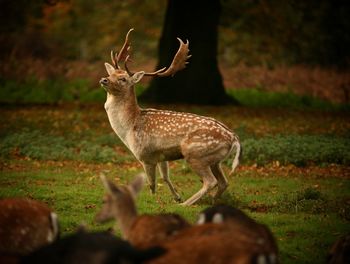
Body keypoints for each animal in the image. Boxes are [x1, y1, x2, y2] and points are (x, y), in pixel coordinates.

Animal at [98, 29, 241, 206]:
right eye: (111, 73)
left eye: (123, 78)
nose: (104, 79)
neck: (129, 126)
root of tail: (233, 138)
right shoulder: (161, 155)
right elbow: (165, 177)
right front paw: (176, 196)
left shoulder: (145, 155)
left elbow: (151, 183)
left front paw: (153, 201)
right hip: (215, 160)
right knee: (224, 182)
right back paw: (212, 201)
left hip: (195, 153)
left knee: (211, 181)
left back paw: (186, 204)